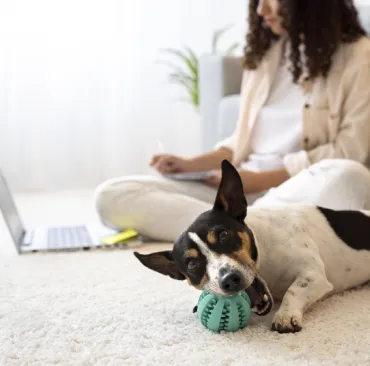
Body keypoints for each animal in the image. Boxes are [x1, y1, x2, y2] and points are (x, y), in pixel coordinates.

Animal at [134, 159, 370, 332]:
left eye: (223, 235)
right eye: (191, 264)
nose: (229, 280)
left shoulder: (314, 275)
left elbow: (293, 291)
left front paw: (285, 315)